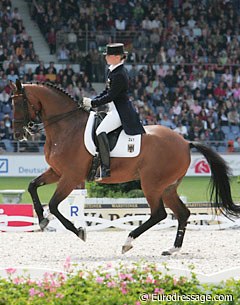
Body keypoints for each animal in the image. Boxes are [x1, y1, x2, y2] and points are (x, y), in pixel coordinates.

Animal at [9, 80, 240, 254]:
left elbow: (55, 205)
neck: (66, 127)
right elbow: (32, 186)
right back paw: (172, 249)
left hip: (151, 184)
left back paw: (128, 241)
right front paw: (42, 220)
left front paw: (78, 231)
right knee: (182, 213)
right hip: (168, 187)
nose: (18, 134)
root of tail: (185, 142)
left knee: (159, 214)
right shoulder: (57, 172)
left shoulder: (71, 177)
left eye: (19, 103)